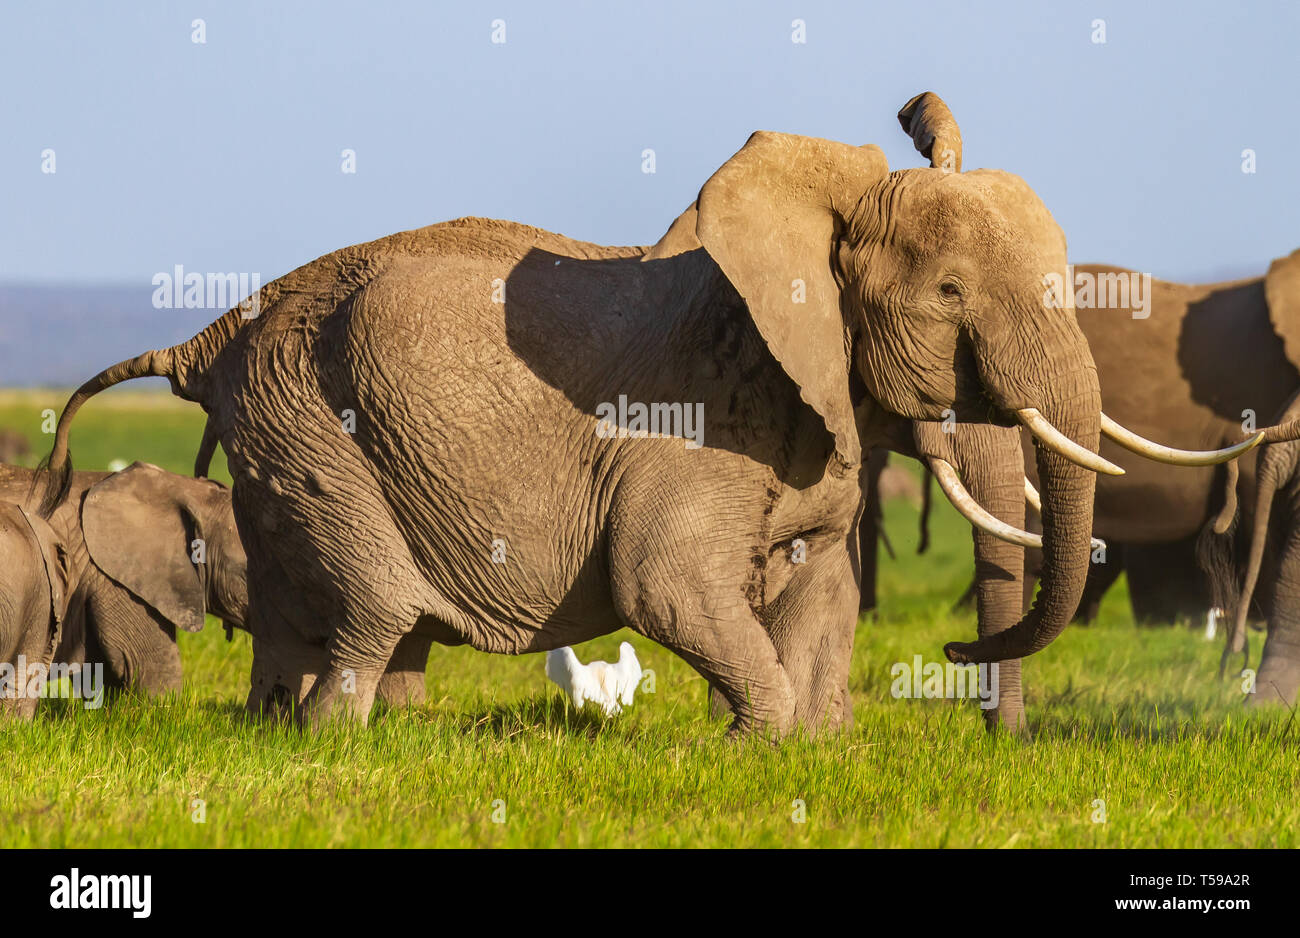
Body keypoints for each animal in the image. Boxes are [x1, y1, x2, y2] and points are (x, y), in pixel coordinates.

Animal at [43, 94, 1196, 735]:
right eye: (950, 293)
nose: (959, 655)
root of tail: (215, 332)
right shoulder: (697, 417)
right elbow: (664, 580)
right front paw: (759, 743)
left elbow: (820, 586)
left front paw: (813, 750)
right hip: (304, 410)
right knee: (374, 592)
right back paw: (333, 735)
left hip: (285, 416)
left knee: (303, 586)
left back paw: (310, 729)